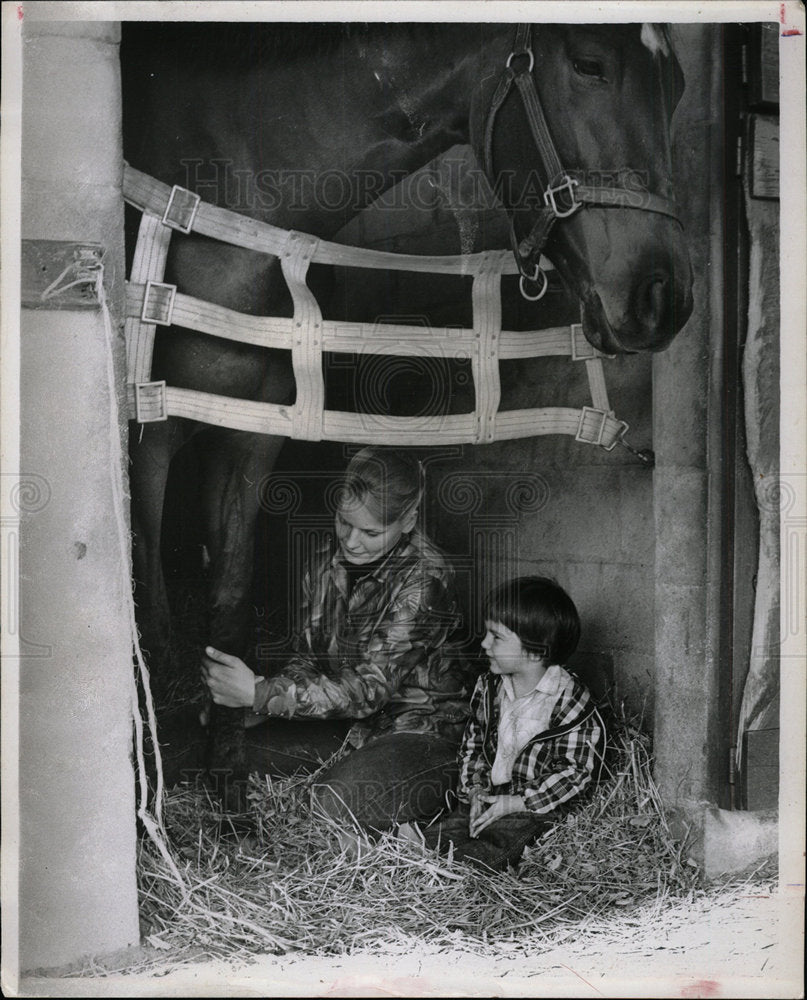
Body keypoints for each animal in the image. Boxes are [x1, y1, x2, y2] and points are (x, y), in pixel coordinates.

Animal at [121, 23, 696, 676]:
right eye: (589, 64)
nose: (664, 297)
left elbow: (232, 598)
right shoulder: (147, 436)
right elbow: (152, 622)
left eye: (678, 84)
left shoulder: (252, 437)